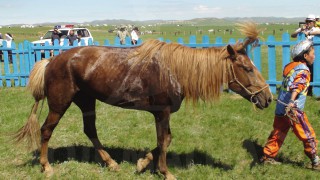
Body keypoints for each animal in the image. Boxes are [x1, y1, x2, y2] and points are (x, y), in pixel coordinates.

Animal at [15, 22, 272, 179]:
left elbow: (164, 140)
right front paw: (165, 171)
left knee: (90, 130)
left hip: (86, 101)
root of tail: (51, 60)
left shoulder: (162, 113)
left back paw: (111, 163)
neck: (175, 70)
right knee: (46, 130)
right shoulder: (162, 111)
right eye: (248, 69)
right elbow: (164, 141)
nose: (268, 98)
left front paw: (142, 163)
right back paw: (46, 166)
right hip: (60, 103)